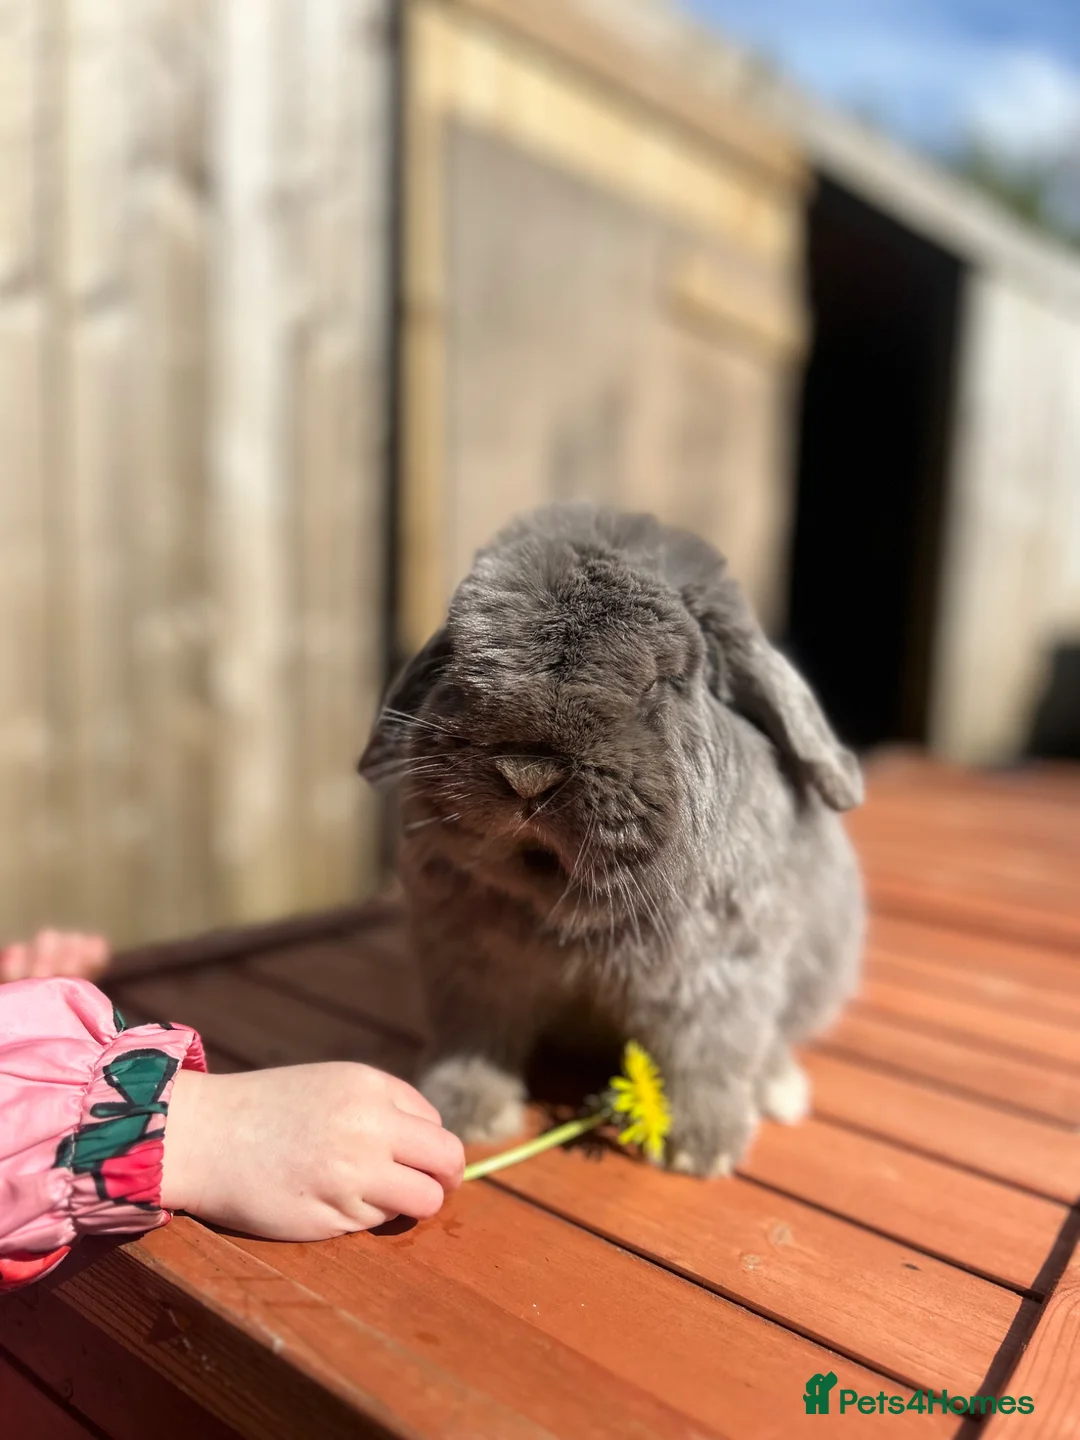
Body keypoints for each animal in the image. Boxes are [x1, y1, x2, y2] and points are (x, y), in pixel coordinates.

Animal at [359, 503, 864, 1176]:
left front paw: (700, 1151)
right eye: (462, 664)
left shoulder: (718, 976)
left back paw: (779, 1091)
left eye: (663, 681)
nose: (527, 773)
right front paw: (465, 1114)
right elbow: (475, 1041)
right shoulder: (472, 970)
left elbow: (706, 1058)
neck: (564, 897)